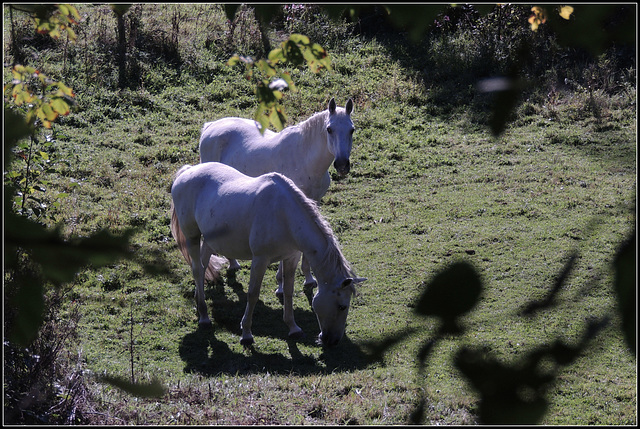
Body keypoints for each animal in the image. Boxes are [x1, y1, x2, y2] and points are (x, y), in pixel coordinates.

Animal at [168, 162, 364, 346]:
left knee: (203, 265)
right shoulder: (260, 260)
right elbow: (253, 294)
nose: (333, 341)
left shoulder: (291, 257)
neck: (284, 215)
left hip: (210, 240)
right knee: (197, 270)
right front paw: (246, 333)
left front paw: (293, 328)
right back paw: (204, 316)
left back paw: (198, 301)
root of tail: (187, 172)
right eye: (342, 306)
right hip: (192, 237)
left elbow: (288, 291)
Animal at [199, 98, 356, 298]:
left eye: (352, 130)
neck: (304, 159)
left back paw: (233, 263)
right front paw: (281, 286)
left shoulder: (313, 203)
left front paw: (309, 279)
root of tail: (210, 127)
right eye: (329, 129)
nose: (342, 165)